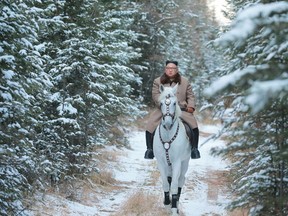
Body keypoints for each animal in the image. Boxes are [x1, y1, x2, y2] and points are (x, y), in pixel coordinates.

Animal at [153, 83, 191, 215]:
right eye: (161, 104)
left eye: (175, 103)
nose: (168, 124)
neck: (168, 135)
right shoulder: (161, 162)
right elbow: (165, 183)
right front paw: (167, 204)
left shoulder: (177, 162)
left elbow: (174, 186)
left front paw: (174, 209)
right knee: (169, 180)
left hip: (184, 163)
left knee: (180, 181)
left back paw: (177, 205)